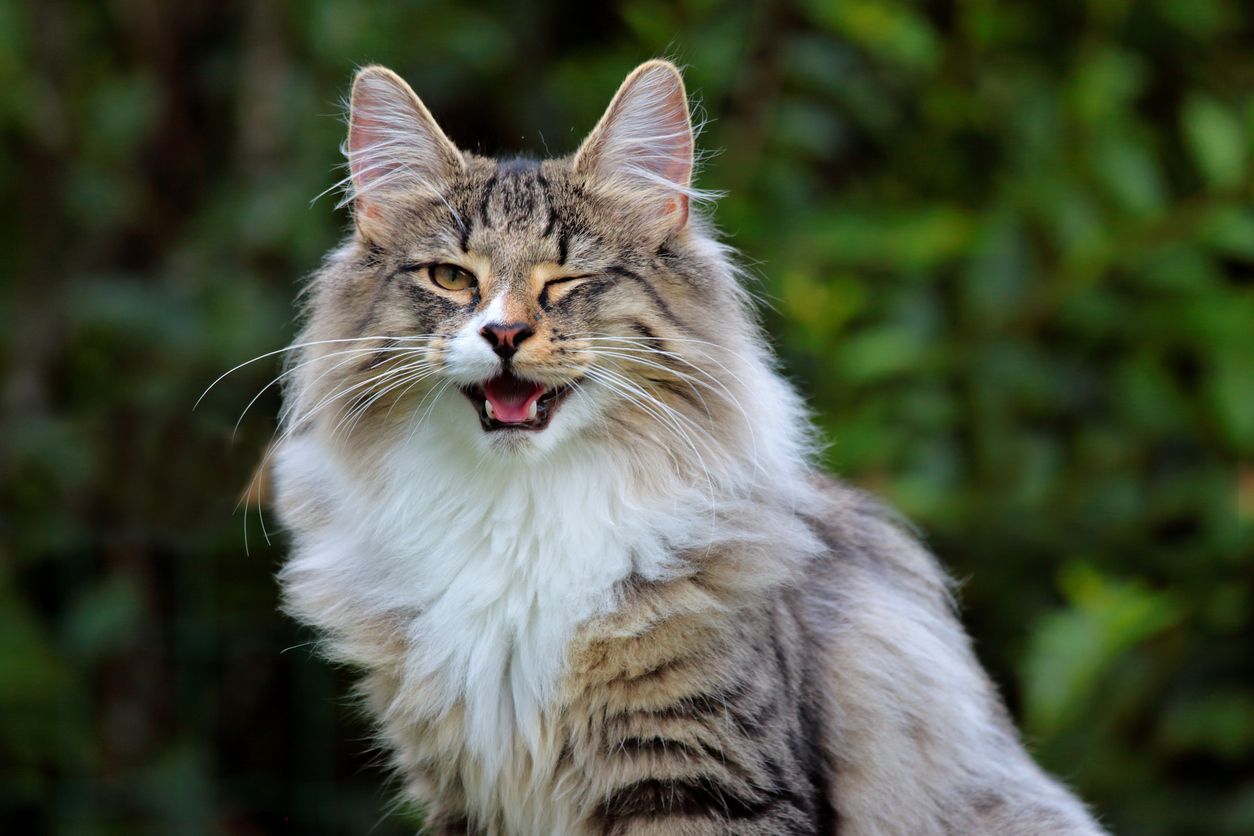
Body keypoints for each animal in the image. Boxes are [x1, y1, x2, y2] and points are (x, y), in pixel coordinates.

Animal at [269, 60, 1103, 836]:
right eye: (450, 277)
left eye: (567, 280)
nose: (502, 333)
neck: (519, 513)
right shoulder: (460, 789)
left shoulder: (704, 774)